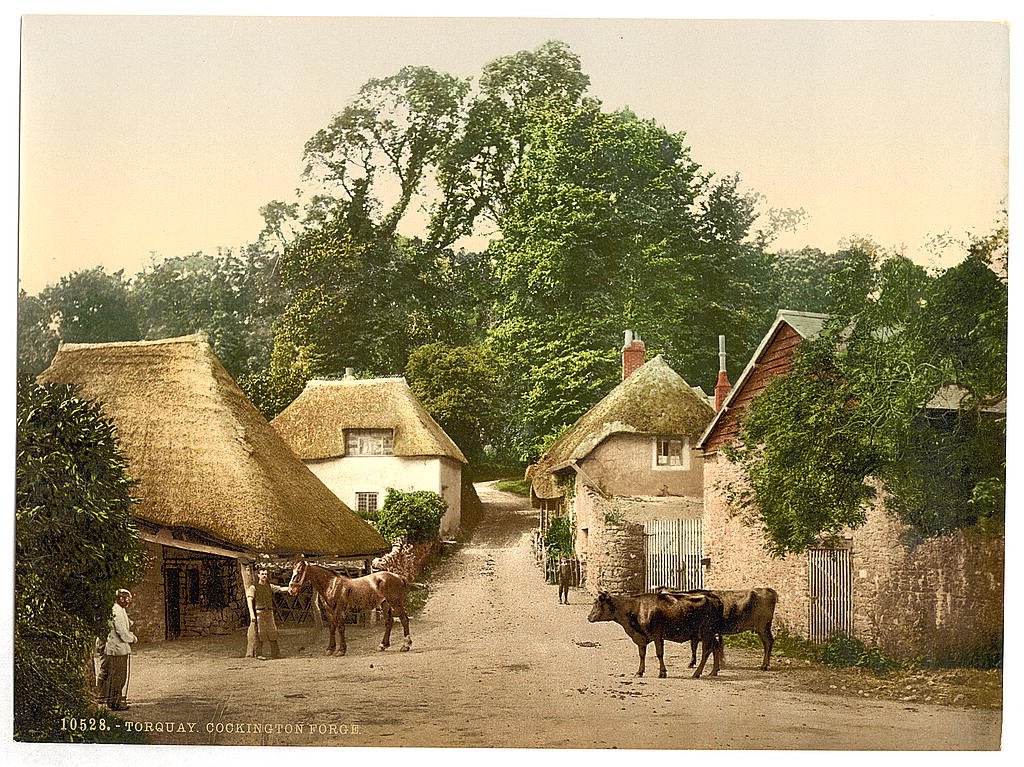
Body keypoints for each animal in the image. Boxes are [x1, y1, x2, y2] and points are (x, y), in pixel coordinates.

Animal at [589, 589, 724, 679]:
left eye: (597, 603)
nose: (589, 617)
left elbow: (659, 654)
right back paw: (713, 671)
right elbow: (642, 654)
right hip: (709, 633)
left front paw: (662, 672)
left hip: (706, 631)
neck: (636, 608)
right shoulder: (641, 637)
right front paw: (639, 672)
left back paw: (697, 673)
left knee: (707, 650)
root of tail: (713, 597)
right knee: (716, 646)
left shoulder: (657, 635)